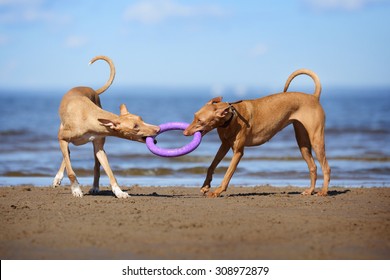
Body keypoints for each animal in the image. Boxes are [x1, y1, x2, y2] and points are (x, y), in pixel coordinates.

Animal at [52, 55, 159, 198]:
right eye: (135, 126)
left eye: (141, 119)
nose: (158, 129)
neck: (89, 116)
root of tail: (91, 89)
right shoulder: (62, 138)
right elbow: (70, 170)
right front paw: (76, 189)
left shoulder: (99, 148)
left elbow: (110, 172)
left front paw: (119, 192)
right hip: (63, 134)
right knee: (67, 155)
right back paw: (58, 178)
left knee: (94, 165)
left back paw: (95, 187)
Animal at [184, 69, 330, 198]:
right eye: (194, 116)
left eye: (200, 121)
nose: (185, 132)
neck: (232, 117)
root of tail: (313, 97)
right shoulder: (224, 145)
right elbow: (212, 165)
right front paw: (205, 186)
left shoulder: (238, 152)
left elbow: (227, 174)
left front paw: (218, 191)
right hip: (303, 142)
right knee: (313, 167)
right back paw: (310, 190)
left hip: (316, 140)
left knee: (326, 167)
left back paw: (323, 191)